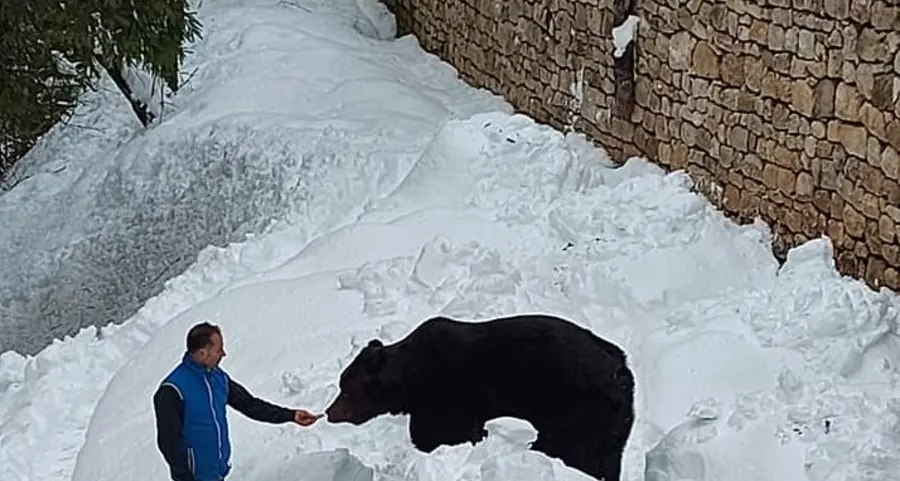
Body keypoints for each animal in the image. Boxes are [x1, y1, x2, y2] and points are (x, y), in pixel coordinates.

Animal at [324, 313, 636, 481]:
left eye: (346, 389)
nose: (329, 412)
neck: (407, 384)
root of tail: (622, 373)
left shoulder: (443, 394)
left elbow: (439, 434)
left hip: (578, 406)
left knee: (568, 450)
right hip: (608, 425)